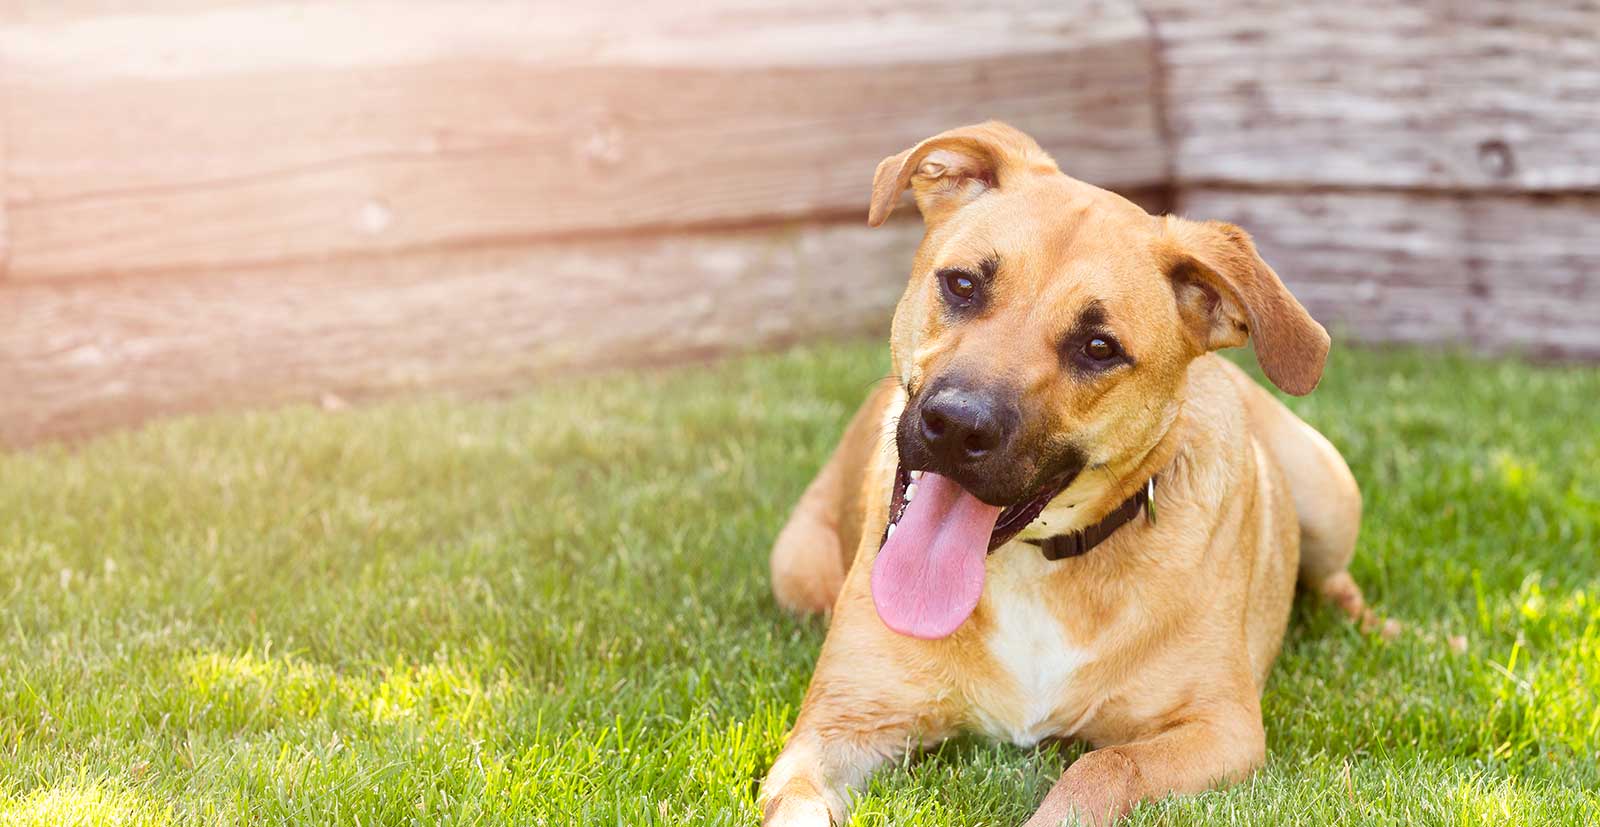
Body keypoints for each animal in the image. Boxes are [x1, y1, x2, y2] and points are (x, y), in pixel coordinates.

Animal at [755, 122, 1369, 825]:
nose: (957, 425)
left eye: (1099, 348)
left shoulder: (1219, 727)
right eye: (961, 285)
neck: (1031, 563)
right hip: (795, 569)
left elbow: (1102, 766)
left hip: (1328, 494)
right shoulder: (835, 726)